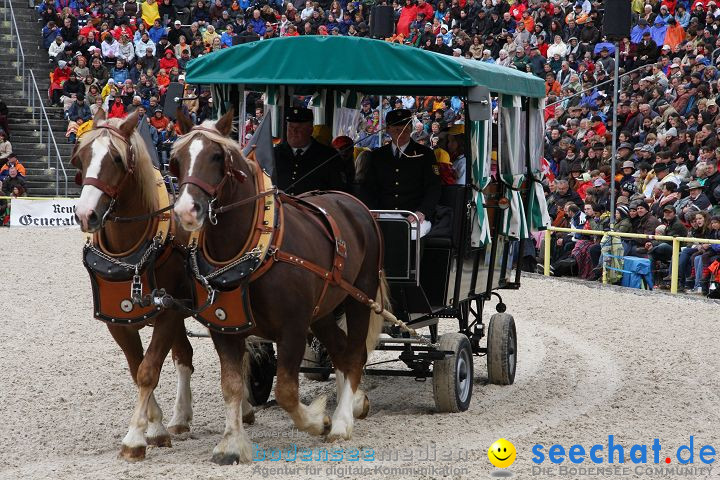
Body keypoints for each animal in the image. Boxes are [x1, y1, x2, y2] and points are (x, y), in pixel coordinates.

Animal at [71, 111, 253, 462]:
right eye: (81, 157)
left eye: (116, 158)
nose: (86, 214)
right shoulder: (119, 322)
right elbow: (138, 369)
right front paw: (154, 428)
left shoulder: (168, 314)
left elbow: (149, 370)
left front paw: (135, 438)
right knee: (184, 355)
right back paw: (180, 418)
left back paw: (247, 408)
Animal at [172, 110, 388, 464]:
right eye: (176, 160)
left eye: (216, 156)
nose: (186, 210)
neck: (257, 250)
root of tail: (353, 203)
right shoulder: (226, 329)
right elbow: (232, 385)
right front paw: (231, 444)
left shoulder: (294, 328)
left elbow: (286, 391)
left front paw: (318, 420)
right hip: (323, 311)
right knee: (341, 351)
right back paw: (355, 403)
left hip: (360, 297)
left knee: (355, 353)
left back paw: (342, 421)